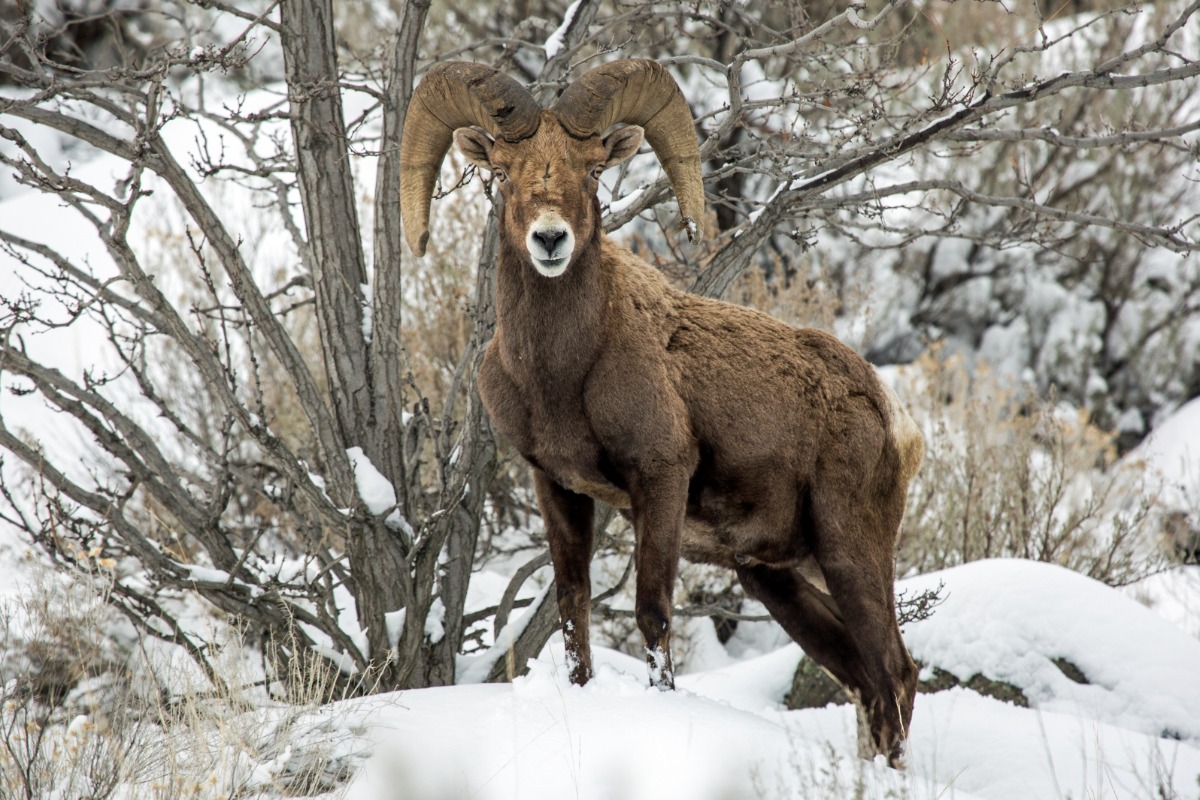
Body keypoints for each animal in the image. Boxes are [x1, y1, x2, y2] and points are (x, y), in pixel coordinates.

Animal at [399, 58, 925, 766]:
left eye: (594, 170)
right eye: (503, 173)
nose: (550, 239)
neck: (561, 373)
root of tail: (893, 417)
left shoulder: (661, 478)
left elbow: (653, 612)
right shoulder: (558, 487)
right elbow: (574, 610)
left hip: (851, 551)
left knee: (895, 671)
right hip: (774, 579)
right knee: (865, 680)